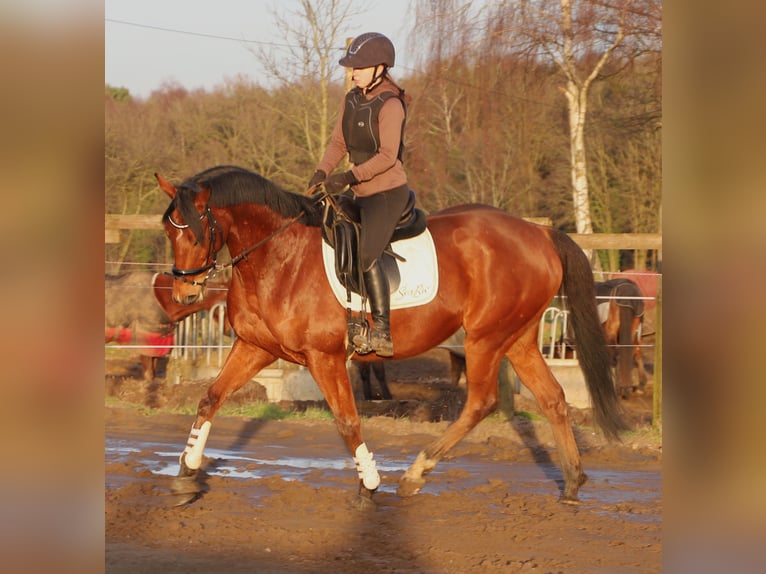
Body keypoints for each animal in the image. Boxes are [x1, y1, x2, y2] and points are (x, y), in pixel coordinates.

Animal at [156, 165, 626, 506]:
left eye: (197, 231)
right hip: (519, 338)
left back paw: (417, 474)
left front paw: (368, 485)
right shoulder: (254, 347)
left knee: (482, 401)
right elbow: (210, 398)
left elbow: (347, 421)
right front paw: (186, 473)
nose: (184, 293)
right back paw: (571, 483)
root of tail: (539, 232)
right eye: (168, 232)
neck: (279, 257)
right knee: (553, 398)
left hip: (486, 338)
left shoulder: (324, 357)